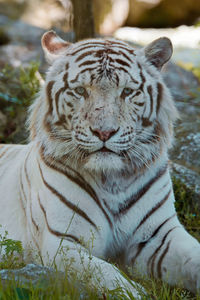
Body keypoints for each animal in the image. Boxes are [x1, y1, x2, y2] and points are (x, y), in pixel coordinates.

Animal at [0, 30, 200, 298]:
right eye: (81, 90)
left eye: (127, 92)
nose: (104, 132)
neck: (113, 179)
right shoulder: (62, 242)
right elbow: (111, 277)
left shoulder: (159, 236)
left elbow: (193, 258)